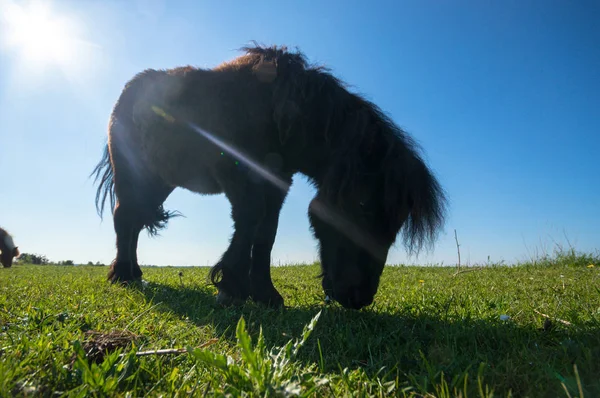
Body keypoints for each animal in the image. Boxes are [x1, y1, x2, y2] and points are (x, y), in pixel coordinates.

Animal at [90, 44, 446, 310]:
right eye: (363, 207)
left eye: (396, 223)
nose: (359, 298)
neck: (275, 113)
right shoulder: (236, 174)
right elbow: (249, 220)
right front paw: (232, 285)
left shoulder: (278, 184)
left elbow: (266, 233)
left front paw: (265, 294)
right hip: (133, 174)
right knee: (125, 217)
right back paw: (123, 275)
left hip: (160, 182)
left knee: (135, 220)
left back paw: (134, 272)